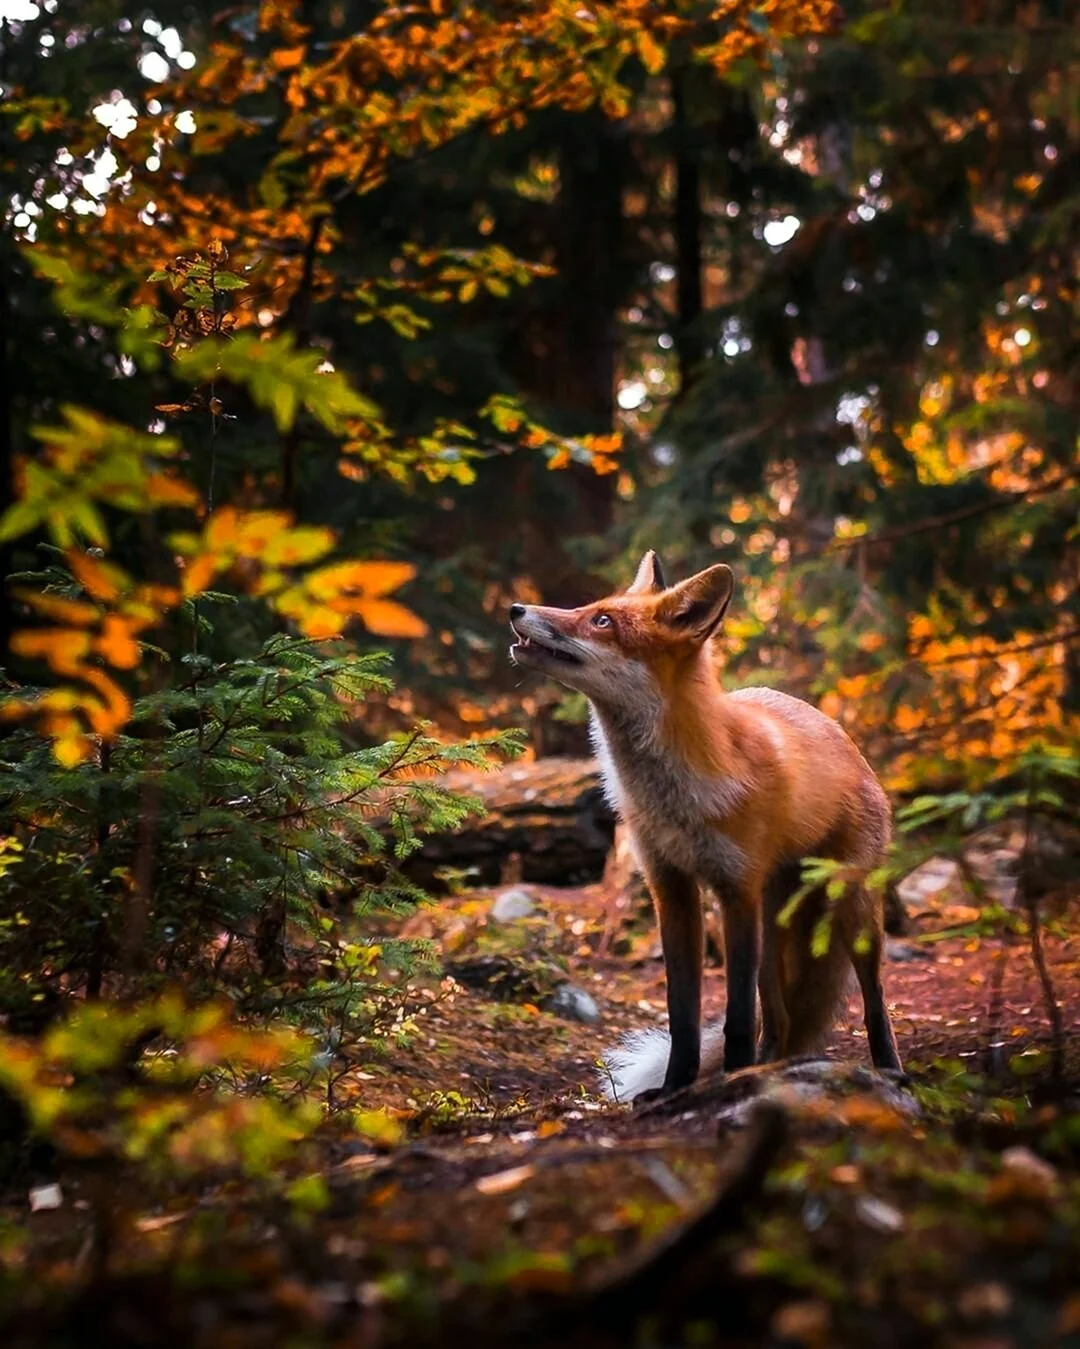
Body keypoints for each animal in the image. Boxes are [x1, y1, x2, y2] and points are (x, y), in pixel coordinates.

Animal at [509, 553, 895, 1100]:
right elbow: (683, 1015)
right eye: (590, 608)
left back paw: (887, 1070)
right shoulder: (671, 887)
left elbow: (735, 1017)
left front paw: (727, 1078)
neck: (675, 798)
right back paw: (769, 1068)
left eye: (602, 621)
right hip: (775, 929)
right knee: (777, 1019)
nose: (515, 608)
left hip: (851, 907)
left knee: (873, 1000)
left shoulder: (737, 890)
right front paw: (675, 1088)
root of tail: (841, 734)